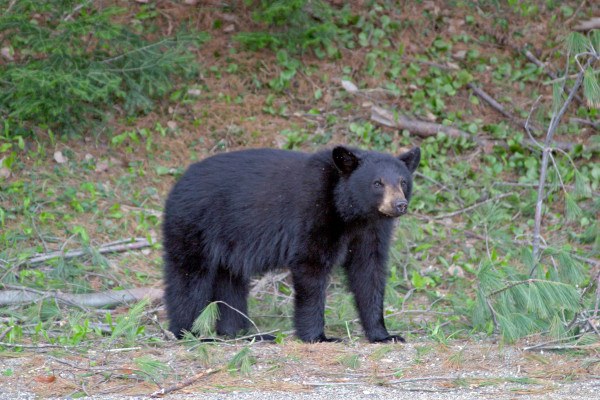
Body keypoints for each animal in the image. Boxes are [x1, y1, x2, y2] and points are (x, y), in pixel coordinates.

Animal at [162, 145, 420, 342]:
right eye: (377, 183)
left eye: (402, 182)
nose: (399, 204)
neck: (351, 213)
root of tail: (178, 183)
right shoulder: (314, 214)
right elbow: (311, 265)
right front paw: (318, 336)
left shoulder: (371, 231)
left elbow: (369, 272)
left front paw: (384, 335)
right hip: (195, 225)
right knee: (189, 277)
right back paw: (191, 333)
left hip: (229, 244)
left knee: (230, 281)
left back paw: (243, 333)